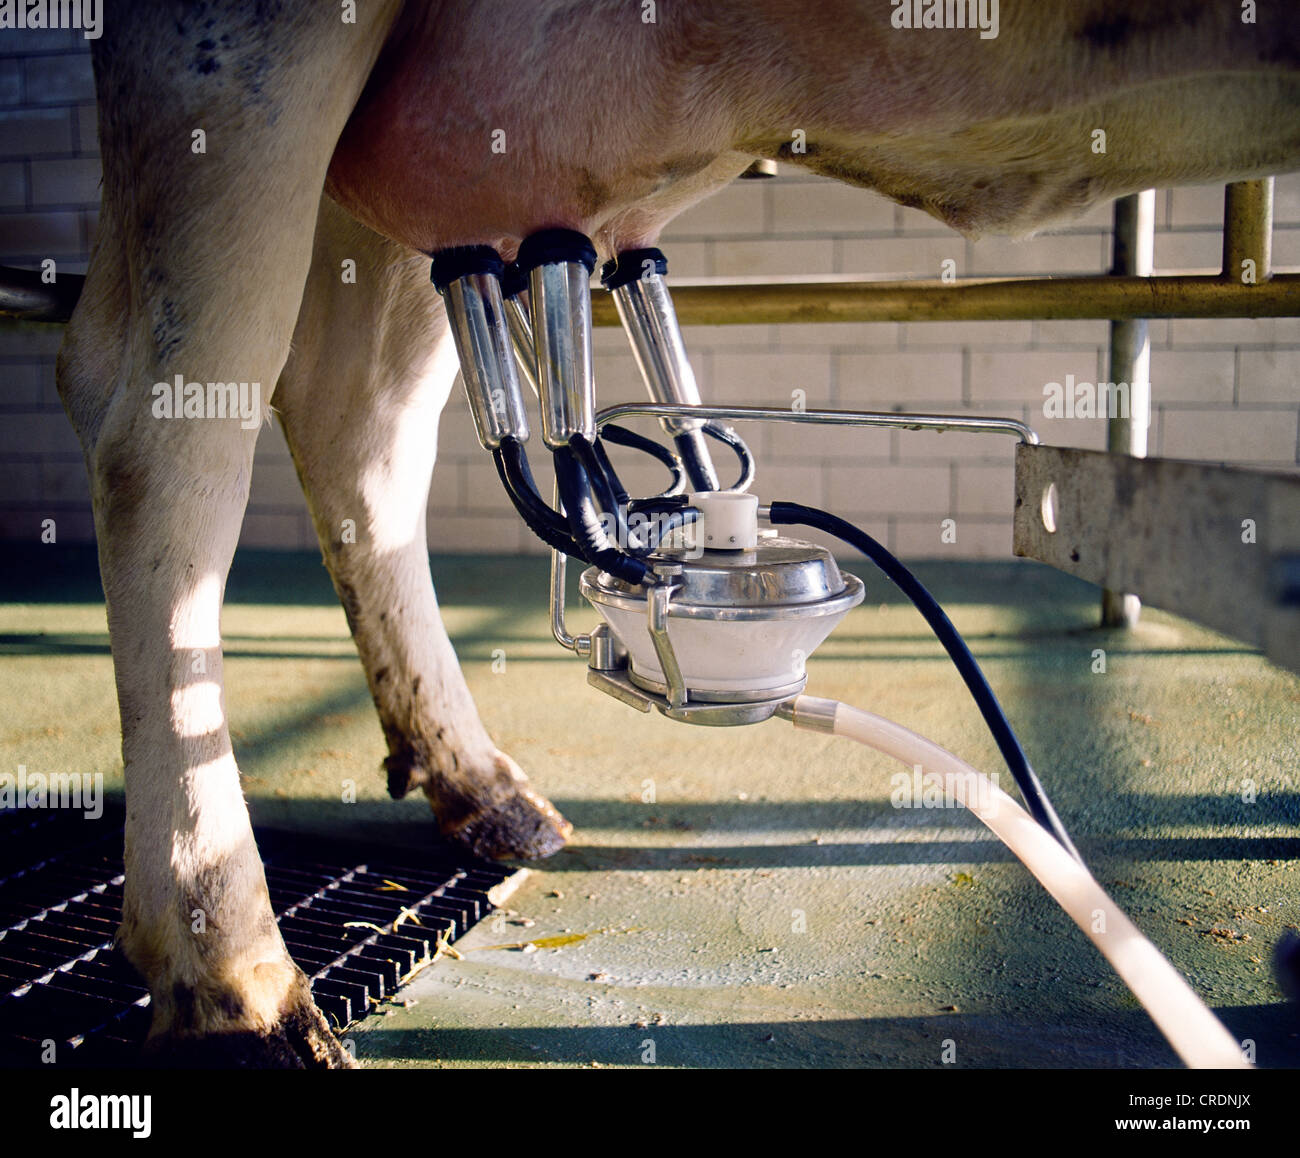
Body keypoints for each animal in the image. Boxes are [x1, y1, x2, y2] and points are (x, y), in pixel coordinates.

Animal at [53, 0, 1300, 1070]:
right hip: (238, 70)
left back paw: (481, 787)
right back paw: (233, 980)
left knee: (354, 416)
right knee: (163, 430)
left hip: (426, 190)